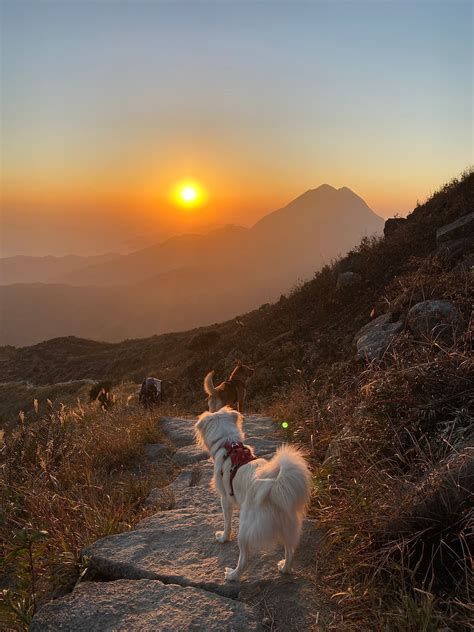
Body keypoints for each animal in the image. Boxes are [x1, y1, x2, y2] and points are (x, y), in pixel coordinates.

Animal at [193, 408, 312, 580]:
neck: (229, 444)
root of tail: (273, 489)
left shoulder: (225, 499)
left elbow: (227, 523)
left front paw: (223, 537)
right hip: (289, 527)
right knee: (290, 551)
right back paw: (284, 568)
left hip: (244, 530)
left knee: (244, 559)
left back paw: (233, 575)